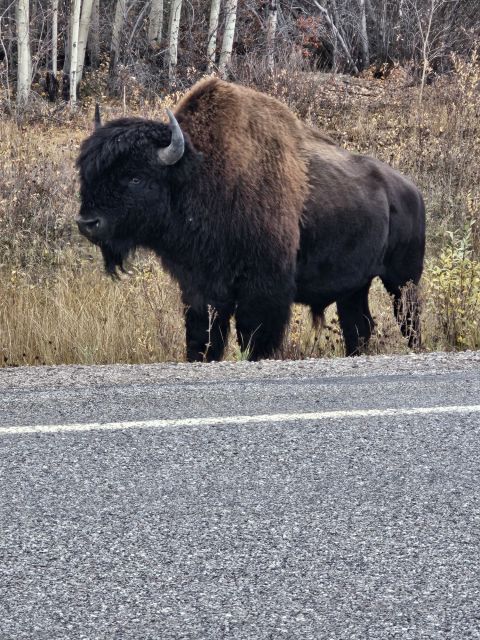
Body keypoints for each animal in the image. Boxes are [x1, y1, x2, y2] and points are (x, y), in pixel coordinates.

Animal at [77, 76, 426, 360]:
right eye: (87, 174)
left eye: (135, 178)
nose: (87, 223)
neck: (198, 174)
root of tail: (410, 191)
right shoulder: (199, 288)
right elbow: (203, 339)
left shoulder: (264, 289)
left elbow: (255, 338)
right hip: (355, 287)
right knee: (359, 326)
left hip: (403, 280)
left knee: (408, 320)